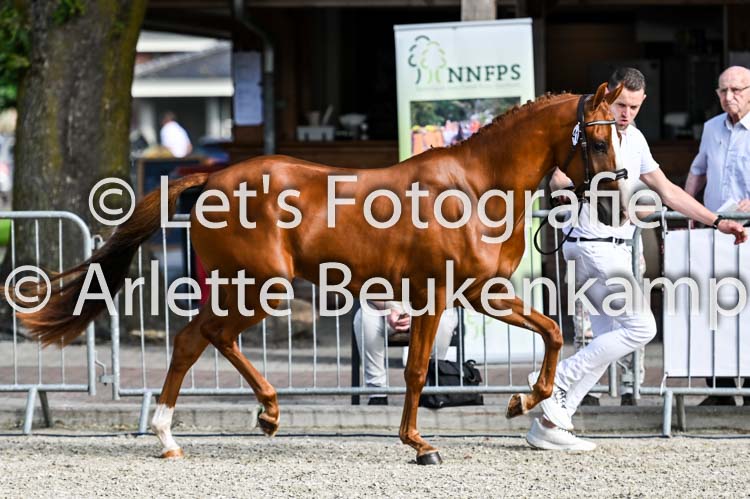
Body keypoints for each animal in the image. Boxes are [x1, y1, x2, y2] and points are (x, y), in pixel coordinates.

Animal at [9, 82, 623, 465]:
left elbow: (553, 332)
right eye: (597, 139)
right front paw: (420, 445)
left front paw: (521, 401)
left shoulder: (483, 295)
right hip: (261, 287)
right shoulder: (435, 295)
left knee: (200, 338)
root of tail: (211, 179)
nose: (614, 203)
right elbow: (416, 372)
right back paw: (206, 424)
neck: (473, 189)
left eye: (618, 135)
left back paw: (227, 423)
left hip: (245, 288)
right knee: (202, 337)